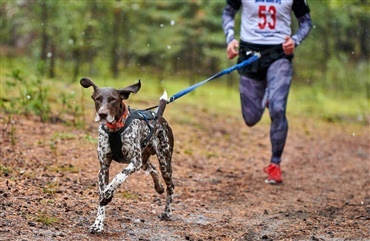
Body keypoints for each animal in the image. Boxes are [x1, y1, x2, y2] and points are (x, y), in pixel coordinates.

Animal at [80, 78, 173, 233]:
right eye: (98, 98)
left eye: (113, 99)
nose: (102, 114)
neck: (115, 129)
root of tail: (158, 115)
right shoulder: (104, 167)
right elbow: (102, 198)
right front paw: (98, 224)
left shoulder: (134, 162)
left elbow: (118, 178)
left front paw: (107, 194)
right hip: (144, 160)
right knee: (153, 169)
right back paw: (158, 187)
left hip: (164, 162)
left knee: (171, 187)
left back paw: (167, 213)